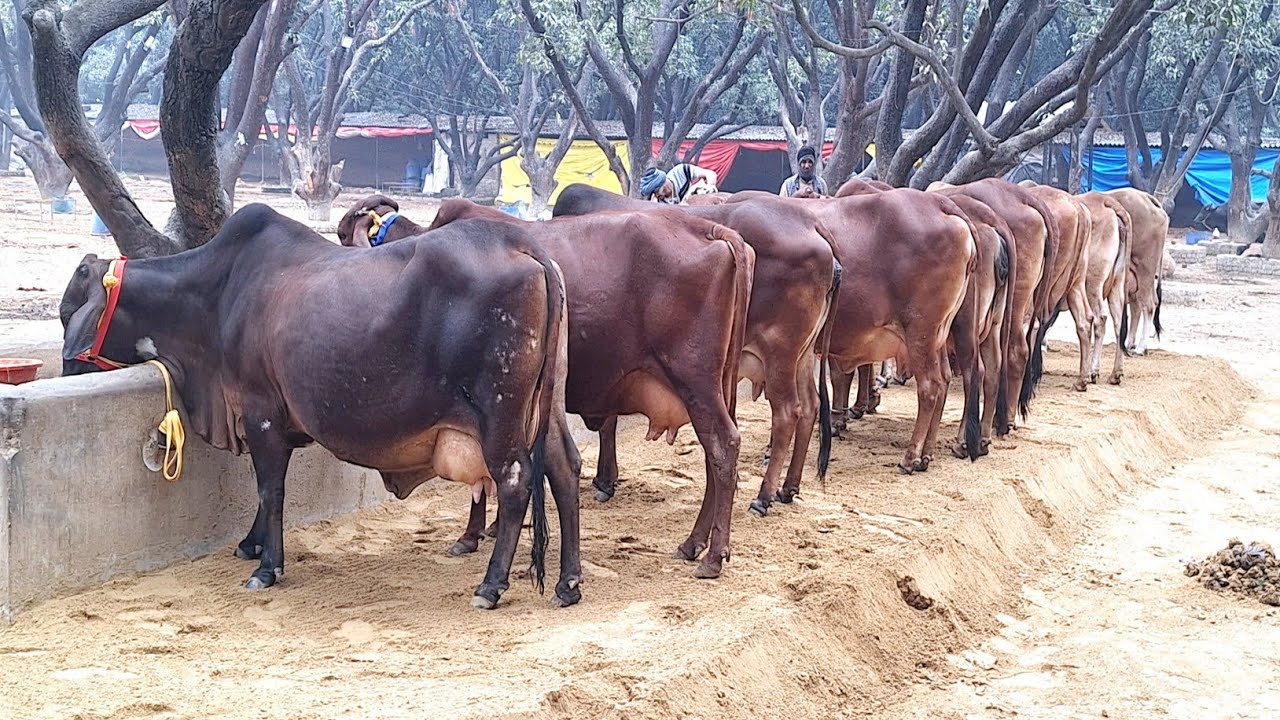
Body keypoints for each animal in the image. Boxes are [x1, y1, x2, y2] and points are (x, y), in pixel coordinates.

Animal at [59, 204, 579, 609]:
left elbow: (270, 489)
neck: (216, 294)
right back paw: (568, 582)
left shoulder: (260, 412)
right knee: (563, 467)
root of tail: (521, 244)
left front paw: (267, 567)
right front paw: (251, 545)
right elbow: (265, 492)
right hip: (546, 409)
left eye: (68, 313)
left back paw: (491, 586)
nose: (68, 369)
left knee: (515, 482)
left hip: (499, 413)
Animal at [551, 183, 842, 516]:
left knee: (787, 413)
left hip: (779, 352)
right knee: (810, 405)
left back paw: (763, 496)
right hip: (802, 354)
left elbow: (607, 422)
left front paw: (604, 480)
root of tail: (811, 223)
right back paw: (788, 487)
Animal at [1076, 191, 1131, 386]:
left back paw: (1092, 371)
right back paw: (1115, 373)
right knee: (1118, 322)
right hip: (1117, 282)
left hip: (1092, 282)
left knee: (1100, 318)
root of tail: (1105, 200)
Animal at [1105, 188, 1169, 355]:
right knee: (1137, 305)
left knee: (1148, 304)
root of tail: (1147, 198)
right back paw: (1129, 343)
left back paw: (1141, 347)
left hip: (1145, 269)